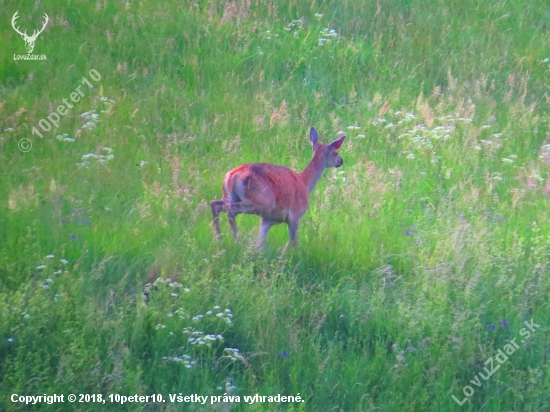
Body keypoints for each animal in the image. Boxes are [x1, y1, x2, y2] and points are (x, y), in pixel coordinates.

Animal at [210, 126, 344, 248]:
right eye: (336, 152)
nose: (341, 161)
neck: (305, 183)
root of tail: (232, 175)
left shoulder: (268, 219)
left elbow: (260, 244)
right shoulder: (295, 214)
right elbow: (294, 243)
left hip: (230, 195)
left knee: (215, 204)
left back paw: (219, 239)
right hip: (260, 201)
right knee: (230, 210)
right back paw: (236, 241)